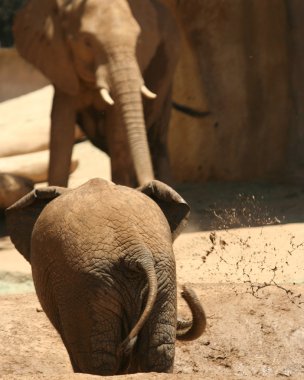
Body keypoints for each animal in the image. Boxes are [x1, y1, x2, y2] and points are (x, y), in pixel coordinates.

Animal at [6, 178, 207, 374]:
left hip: (86, 285)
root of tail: (137, 250)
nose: (185, 291)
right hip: (161, 272)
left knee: (96, 357)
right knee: (159, 348)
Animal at [13, 0, 180, 187]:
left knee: (158, 137)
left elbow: (116, 130)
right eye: (87, 42)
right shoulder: (61, 66)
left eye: (138, 41)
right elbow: (61, 130)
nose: (147, 183)